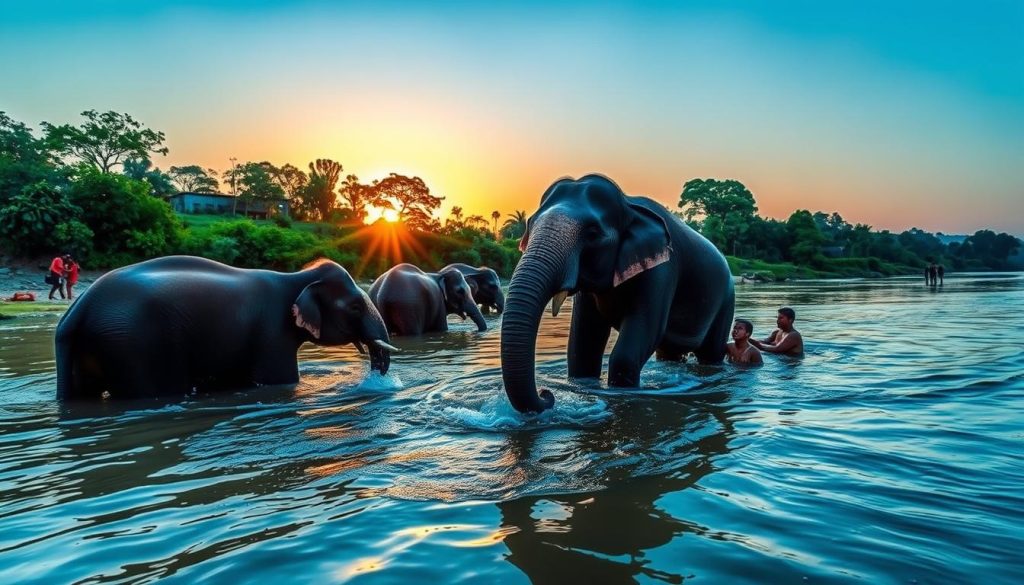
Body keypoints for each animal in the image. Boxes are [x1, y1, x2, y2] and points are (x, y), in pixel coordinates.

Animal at [54, 255, 395, 400]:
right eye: (354, 307)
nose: (377, 373)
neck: (296, 277)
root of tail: (77, 312)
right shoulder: (272, 333)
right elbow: (278, 380)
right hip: (133, 346)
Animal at [500, 174, 735, 413]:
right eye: (530, 224)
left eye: (593, 234)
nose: (546, 394)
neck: (629, 204)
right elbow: (583, 347)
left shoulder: (663, 270)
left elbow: (631, 349)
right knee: (669, 354)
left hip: (727, 299)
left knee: (711, 352)